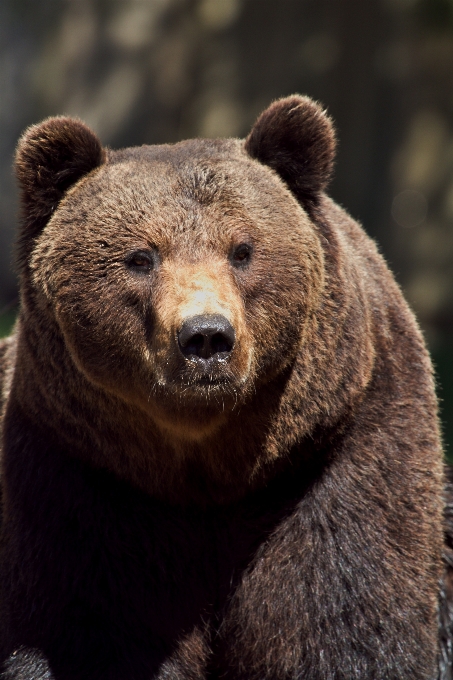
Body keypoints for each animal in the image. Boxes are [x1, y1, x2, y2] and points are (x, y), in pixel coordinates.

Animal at [0, 95, 446, 680]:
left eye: (242, 250)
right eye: (140, 257)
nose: (206, 336)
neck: (210, 475)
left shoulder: (338, 455)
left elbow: (344, 621)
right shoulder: (81, 479)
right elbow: (85, 631)